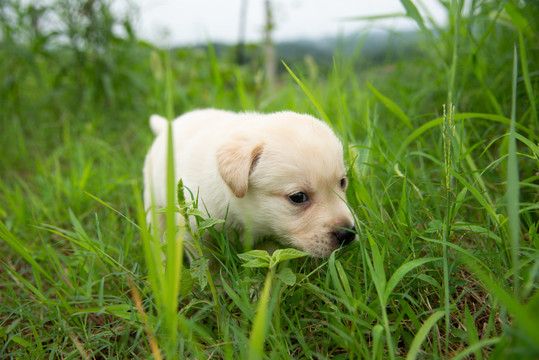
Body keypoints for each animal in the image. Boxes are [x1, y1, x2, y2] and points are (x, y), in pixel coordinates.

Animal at [141, 108, 356, 258]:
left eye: (342, 183)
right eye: (298, 197)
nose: (348, 234)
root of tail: (167, 125)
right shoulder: (193, 230)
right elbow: (207, 263)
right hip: (153, 201)